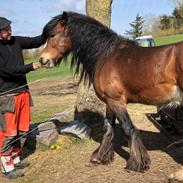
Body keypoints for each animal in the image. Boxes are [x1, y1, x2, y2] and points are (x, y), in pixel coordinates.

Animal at [38, 11, 183, 172]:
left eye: (52, 35)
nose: (42, 60)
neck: (106, 56)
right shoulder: (109, 102)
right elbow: (108, 127)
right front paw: (101, 157)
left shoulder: (116, 101)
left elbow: (128, 128)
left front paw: (137, 163)